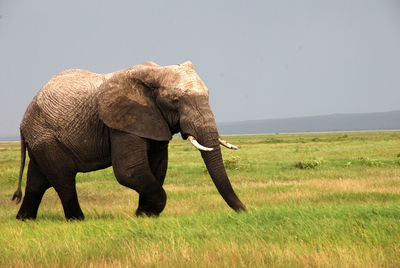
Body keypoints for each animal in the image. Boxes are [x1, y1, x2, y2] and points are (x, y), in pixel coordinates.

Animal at [12, 60, 245, 220]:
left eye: (208, 96)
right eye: (175, 101)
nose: (245, 211)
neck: (154, 74)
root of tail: (23, 121)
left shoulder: (153, 120)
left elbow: (157, 166)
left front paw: (144, 215)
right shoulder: (122, 122)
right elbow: (128, 170)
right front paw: (143, 214)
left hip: (41, 139)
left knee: (38, 181)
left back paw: (25, 220)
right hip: (46, 136)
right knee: (63, 179)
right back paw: (77, 220)